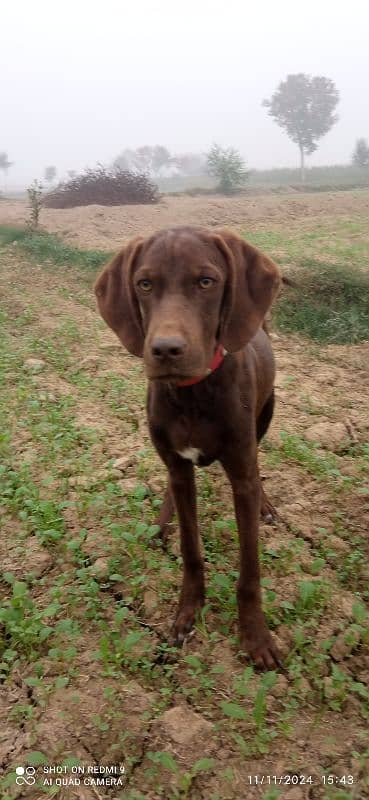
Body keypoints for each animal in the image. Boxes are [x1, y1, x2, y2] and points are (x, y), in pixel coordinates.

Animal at [94, 225, 278, 668]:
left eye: (206, 281)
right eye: (144, 284)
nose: (165, 350)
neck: (193, 394)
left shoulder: (241, 473)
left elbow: (250, 569)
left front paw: (255, 637)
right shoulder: (178, 465)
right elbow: (190, 548)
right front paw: (187, 612)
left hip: (267, 414)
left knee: (258, 467)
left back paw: (266, 504)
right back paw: (163, 521)